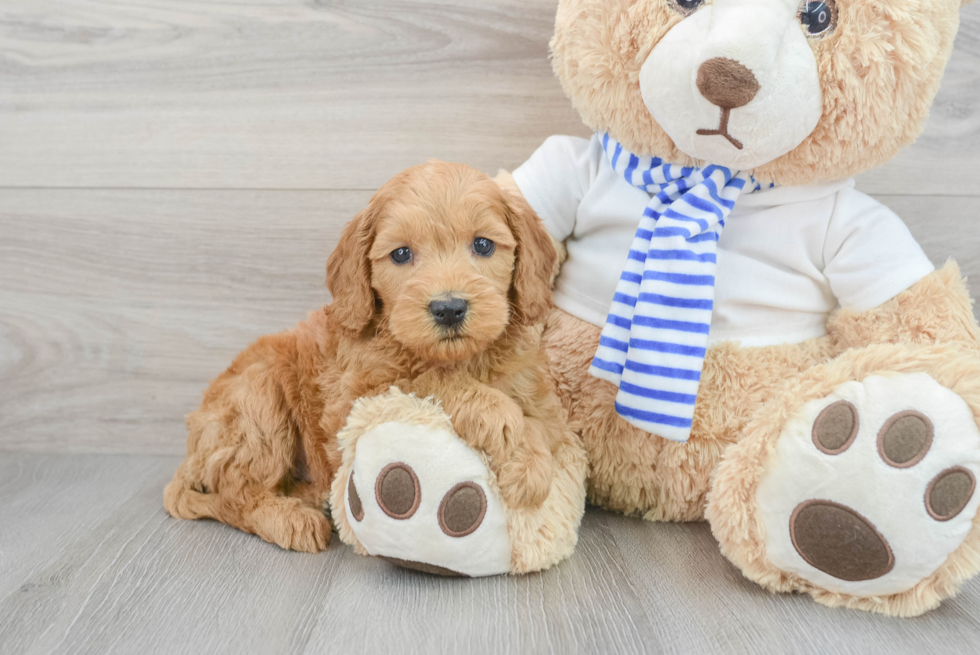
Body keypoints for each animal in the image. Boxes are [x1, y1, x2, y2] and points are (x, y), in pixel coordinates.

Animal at [164, 160, 564, 552]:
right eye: (401, 254)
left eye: (483, 245)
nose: (449, 308)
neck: (459, 358)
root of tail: (191, 449)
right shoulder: (351, 404)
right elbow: (424, 380)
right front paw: (494, 412)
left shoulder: (532, 389)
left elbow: (541, 424)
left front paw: (529, 463)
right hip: (257, 400)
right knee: (236, 494)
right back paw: (290, 518)